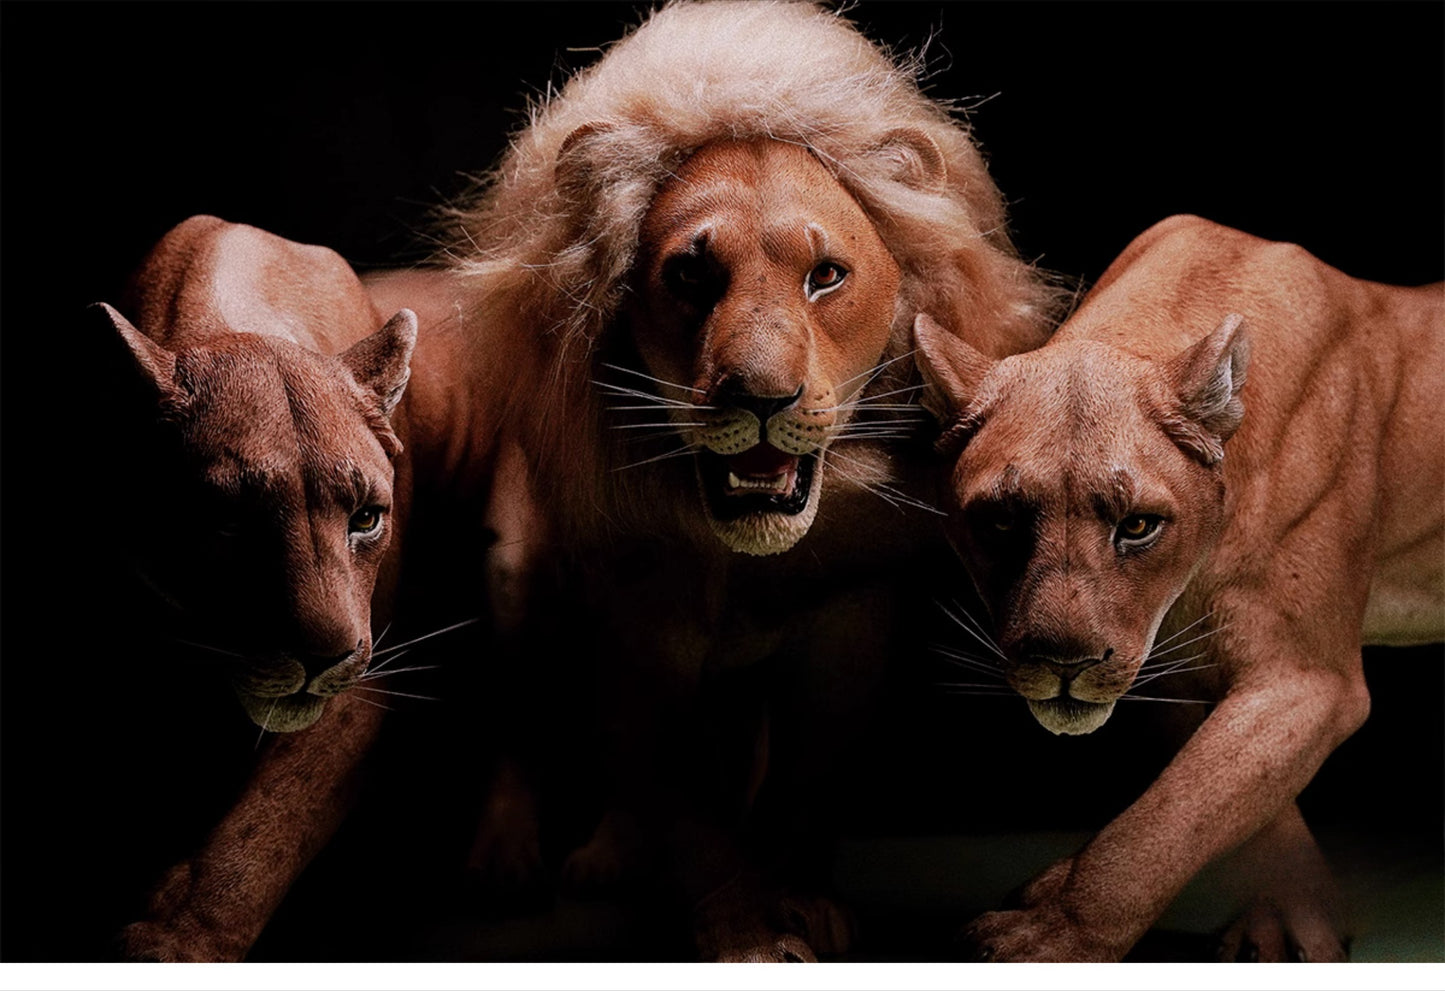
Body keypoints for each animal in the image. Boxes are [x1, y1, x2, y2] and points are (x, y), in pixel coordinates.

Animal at [431, 0, 1059, 960]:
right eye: (691, 273)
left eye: (825, 275)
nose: (761, 398)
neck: (745, 560)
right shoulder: (637, 630)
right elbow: (688, 810)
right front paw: (748, 933)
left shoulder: (851, 623)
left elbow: (802, 780)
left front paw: (801, 898)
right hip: (517, 586)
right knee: (519, 724)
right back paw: (510, 863)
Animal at [913, 214, 1443, 961]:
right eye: (1001, 521)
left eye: (1137, 525)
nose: (1064, 664)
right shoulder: (1184, 676)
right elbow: (1230, 807)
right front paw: (1292, 924)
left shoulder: (1305, 678)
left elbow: (1169, 818)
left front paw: (1053, 933)